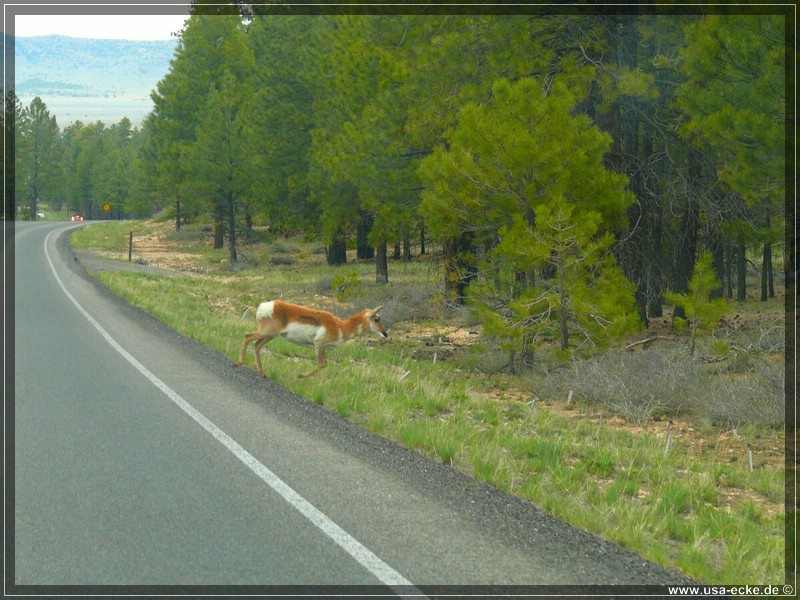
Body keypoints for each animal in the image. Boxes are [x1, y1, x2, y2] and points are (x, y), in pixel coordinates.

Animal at [238, 300, 388, 380]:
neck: (340, 325)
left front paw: (302, 376)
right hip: (268, 332)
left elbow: (325, 364)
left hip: (270, 335)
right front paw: (317, 383)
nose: (385, 334)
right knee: (247, 336)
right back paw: (240, 362)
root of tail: (268, 305)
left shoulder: (323, 348)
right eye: (377, 319)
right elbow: (321, 364)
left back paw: (262, 372)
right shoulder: (318, 345)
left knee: (256, 345)